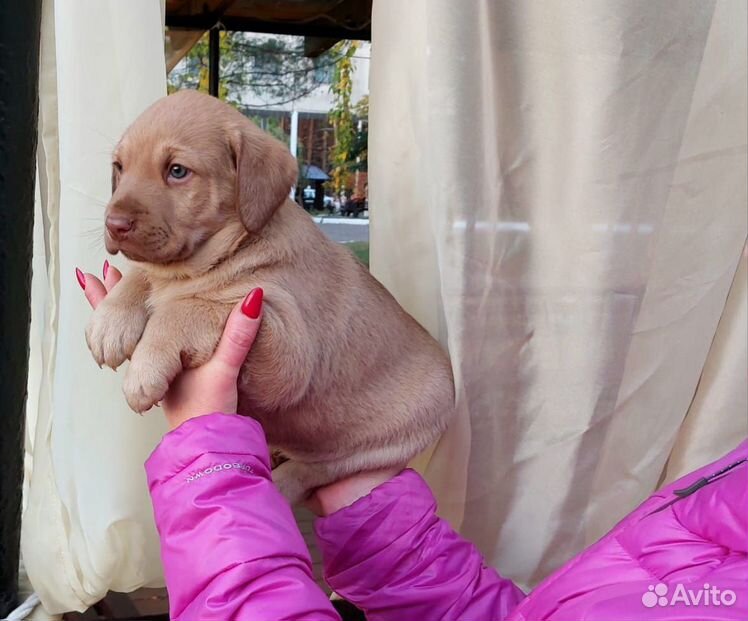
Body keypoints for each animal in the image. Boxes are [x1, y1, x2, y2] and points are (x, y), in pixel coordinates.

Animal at [84, 89, 452, 502]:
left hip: (389, 441)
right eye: (119, 167)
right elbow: (144, 274)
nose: (114, 224)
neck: (220, 255)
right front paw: (110, 320)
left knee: (319, 469)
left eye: (177, 171)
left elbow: (194, 305)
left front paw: (145, 366)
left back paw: (280, 481)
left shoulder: (283, 346)